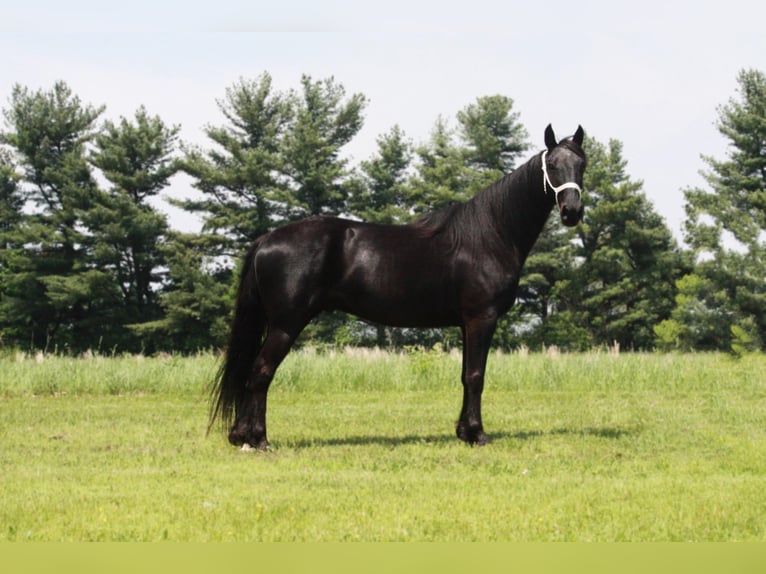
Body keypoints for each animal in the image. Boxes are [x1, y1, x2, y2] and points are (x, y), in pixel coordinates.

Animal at [210, 125, 588, 450]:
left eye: (581, 164)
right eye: (552, 165)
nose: (571, 211)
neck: (489, 236)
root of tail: (266, 239)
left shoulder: (466, 324)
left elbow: (465, 376)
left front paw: (463, 432)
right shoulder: (482, 318)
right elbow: (476, 376)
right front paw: (478, 435)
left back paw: (241, 436)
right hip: (286, 324)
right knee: (260, 373)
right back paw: (258, 439)